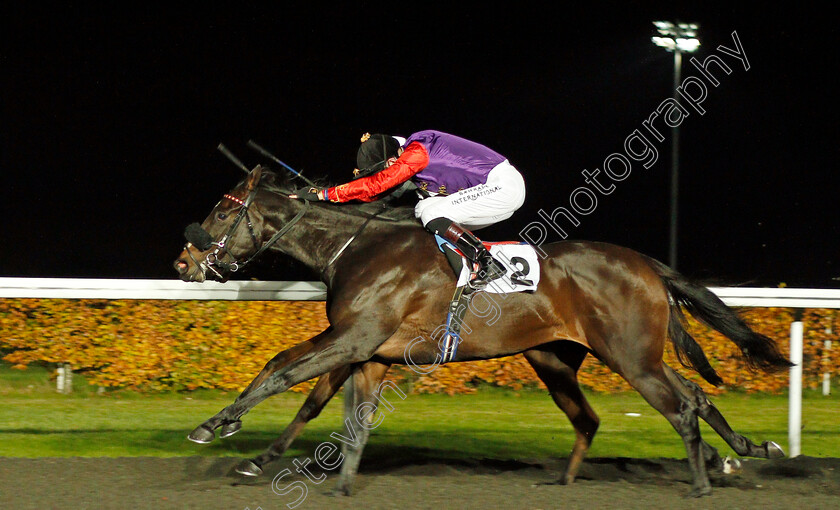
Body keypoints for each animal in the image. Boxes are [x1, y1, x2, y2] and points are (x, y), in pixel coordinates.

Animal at [174, 167, 792, 498]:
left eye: (223, 211)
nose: (184, 262)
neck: (360, 248)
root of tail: (647, 264)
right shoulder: (364, 348)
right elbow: (326, 404)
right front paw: (313, 473)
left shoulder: (354, 338)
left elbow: (284, 376)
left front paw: (212, 427)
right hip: (581, 356)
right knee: (688, 398)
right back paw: (739, 451)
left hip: (629, 356)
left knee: (682, 407)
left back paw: (702, 482)